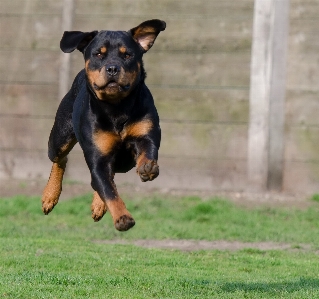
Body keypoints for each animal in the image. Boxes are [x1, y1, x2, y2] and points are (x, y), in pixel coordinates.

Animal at [41, 19, 166, 233]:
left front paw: (147, 166)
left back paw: (98, 205)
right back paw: (50, 196)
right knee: (61, 159)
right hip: (59, 137)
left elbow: (147, 149)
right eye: (98, 54)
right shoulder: (98, 156)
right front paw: (123, 218)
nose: (113, 68)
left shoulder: (146, 132)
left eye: (127, 54)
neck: (116, 108)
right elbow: (108, 190)